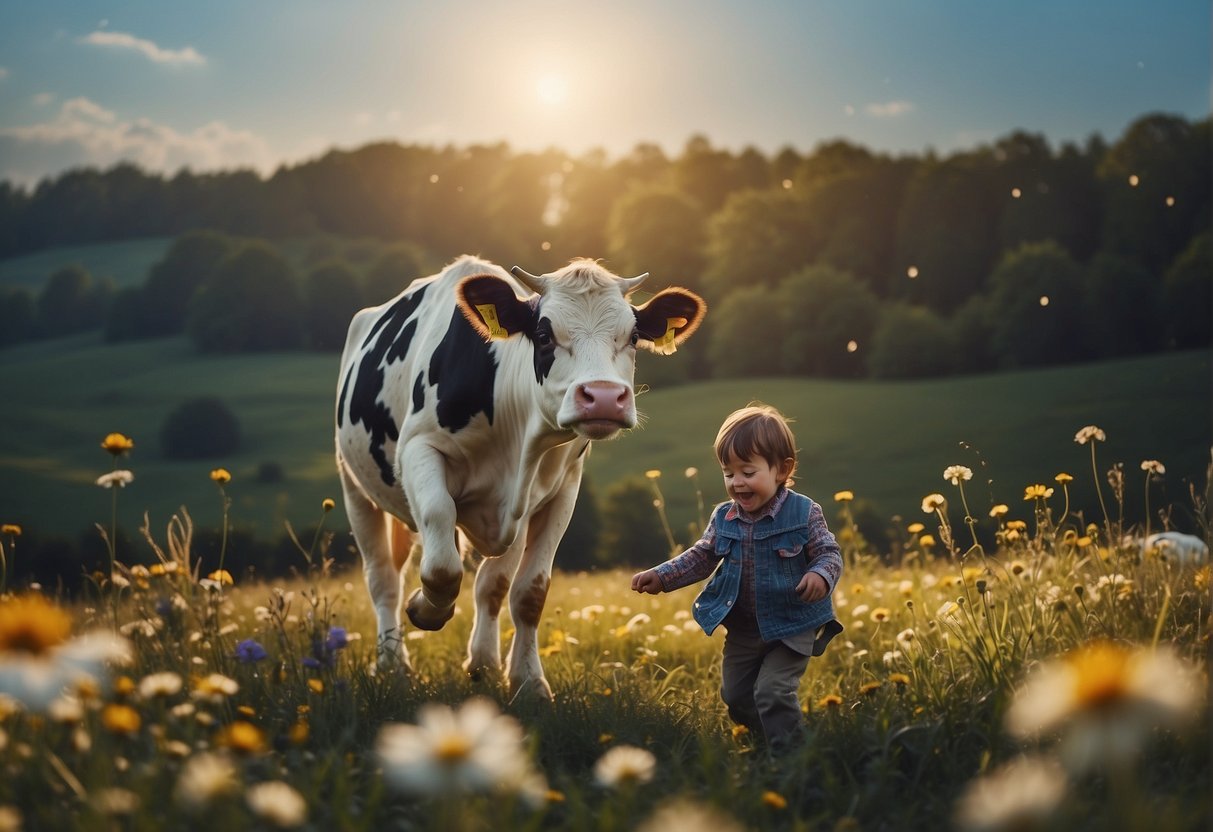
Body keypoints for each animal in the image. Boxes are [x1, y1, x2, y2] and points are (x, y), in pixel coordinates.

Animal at [337, 257, 708, 698]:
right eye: (544, 334)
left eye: (633, 336)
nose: (603, 397)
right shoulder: (418, 450)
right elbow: (442, 564)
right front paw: (425, 610)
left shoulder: (557, 489)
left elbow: (523, 590)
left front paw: (523, 678)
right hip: (354, 487)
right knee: (383, 580)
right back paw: (393, 664)